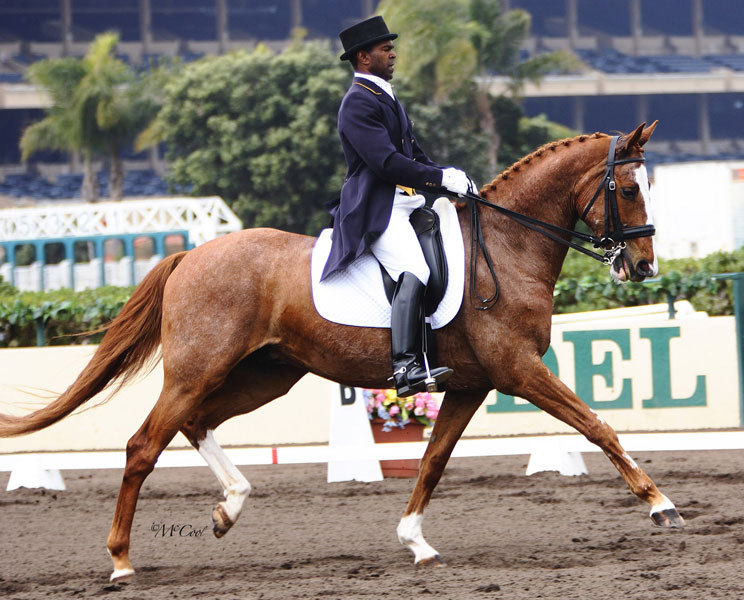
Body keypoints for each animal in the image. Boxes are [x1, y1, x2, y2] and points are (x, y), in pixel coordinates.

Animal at [0, 121, 684, 582]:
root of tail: (190, 255)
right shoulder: (518, 370)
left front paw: (415, 542)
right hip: (198, 370)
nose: (644, 268)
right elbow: (597, 425)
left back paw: (228, 509)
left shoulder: (470, 383)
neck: (509, 245)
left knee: (195, 424)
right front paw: (661, 506)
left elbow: (433, 460)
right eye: (629, 188)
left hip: (266, 375)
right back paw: (121, 561)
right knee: (144, 445)